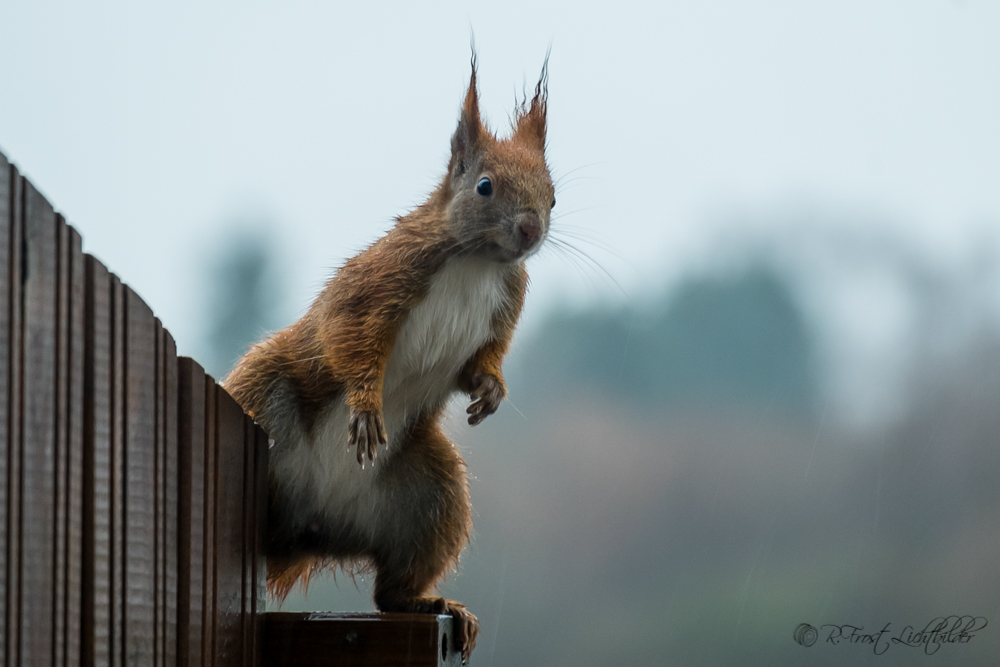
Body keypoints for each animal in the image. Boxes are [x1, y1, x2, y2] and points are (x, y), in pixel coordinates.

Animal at [225, 57, 556, 664]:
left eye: (552, 195)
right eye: (484, 186)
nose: (530, 230)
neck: (475, 260)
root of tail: (311, 528)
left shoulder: (507, 302)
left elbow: (483, 360)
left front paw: (491, 389)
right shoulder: (379, 282)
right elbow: (349, 337)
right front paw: (365, 404)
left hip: (432, 494)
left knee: (391, 591)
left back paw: (436, 605)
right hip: (268, 392)